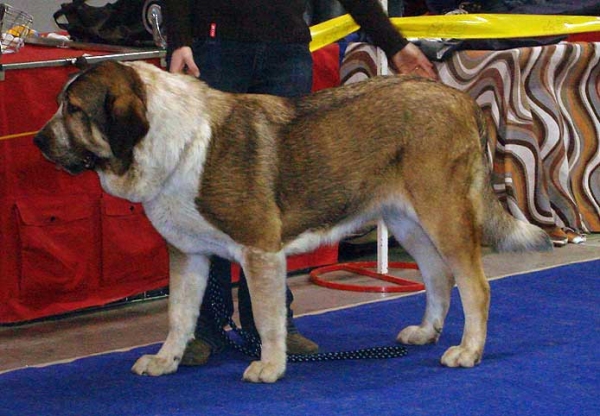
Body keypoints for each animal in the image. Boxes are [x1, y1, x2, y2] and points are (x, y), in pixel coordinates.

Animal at [31, 60, 548, 382]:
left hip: (442, 214)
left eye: (74, 110)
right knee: (440, 277)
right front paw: (166, 361)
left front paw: (270, 366)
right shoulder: (189, 254)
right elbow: (179, 315)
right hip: (406, 220)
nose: (36, 141)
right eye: (60, 104)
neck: (169, 139)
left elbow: (267, 316)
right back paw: (426, 332)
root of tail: (462, 99)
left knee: (475, 286)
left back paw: (468, 351)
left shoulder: (260, 250)